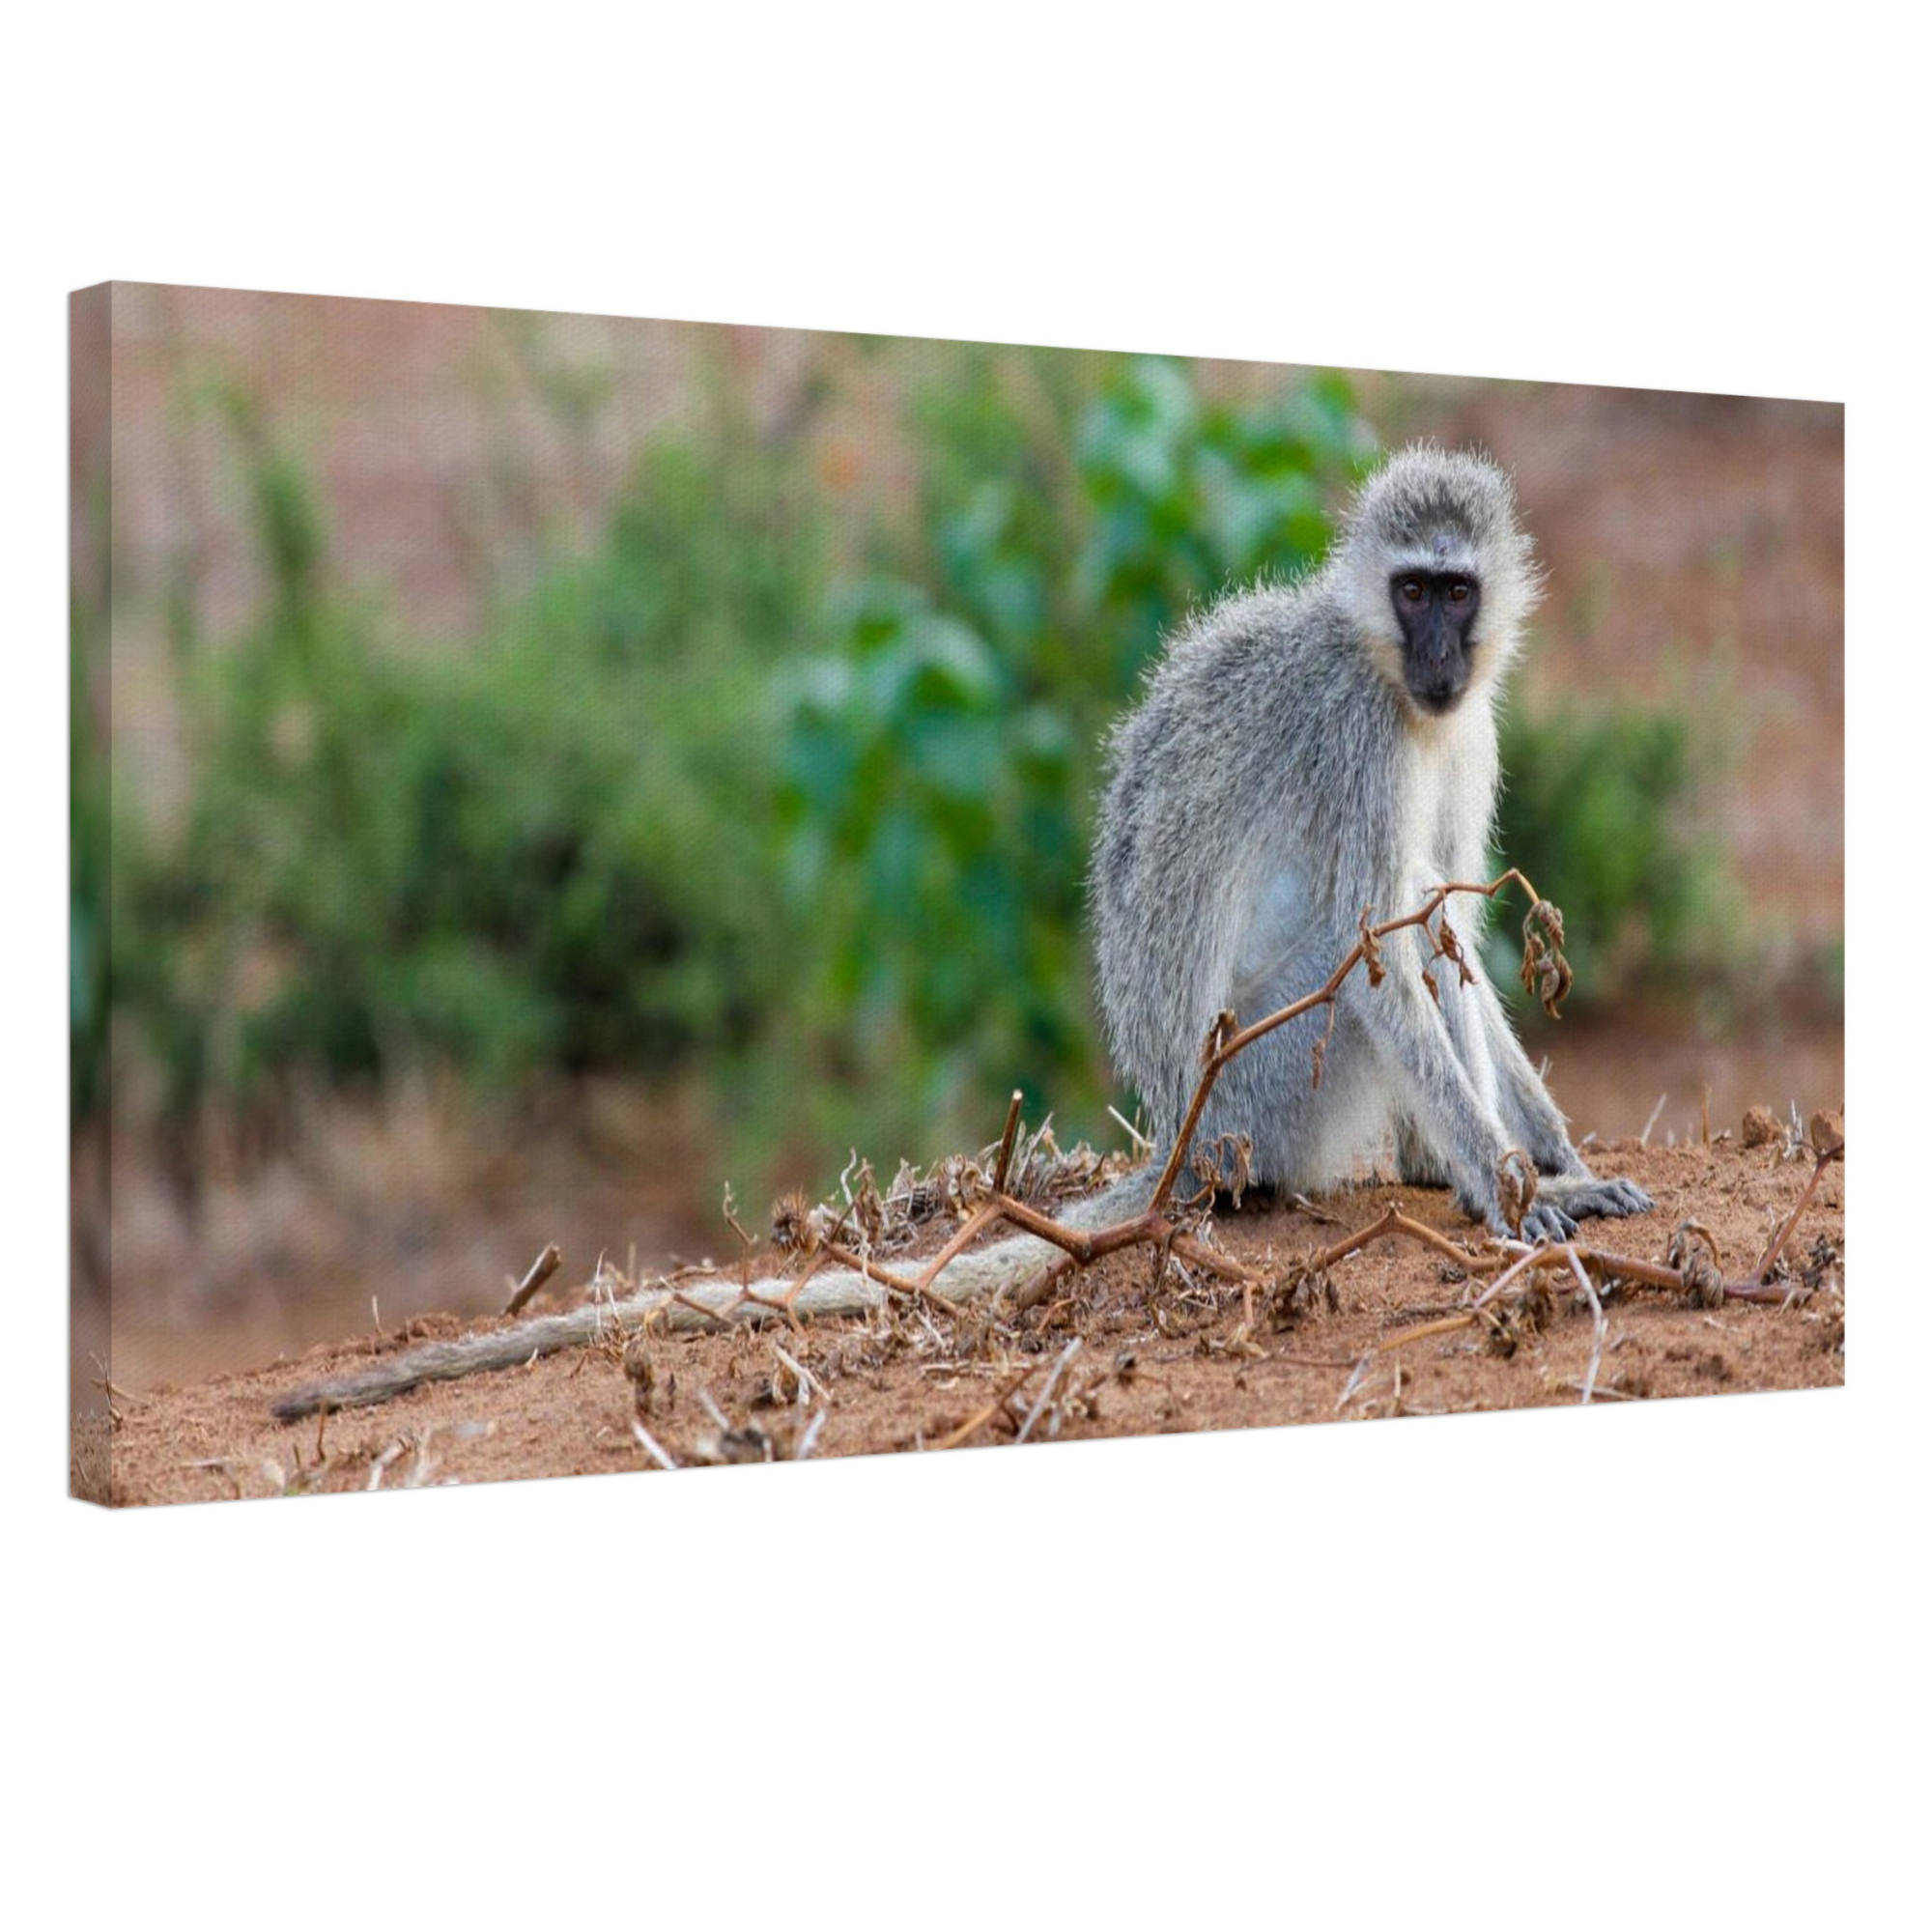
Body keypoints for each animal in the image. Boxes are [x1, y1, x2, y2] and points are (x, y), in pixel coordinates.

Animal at [269, 442, 1646, 1422]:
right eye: (1410, 589)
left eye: (1455, 590)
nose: (1436, 650)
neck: (1393, 682)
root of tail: (1183, 1138)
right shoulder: (1357, 736)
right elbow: (1383, 949)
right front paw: (1514, 1186)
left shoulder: (1461, 727)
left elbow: (1454, 913)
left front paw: (1555, 1159)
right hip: (1272, 1088)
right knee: (1369, 963)